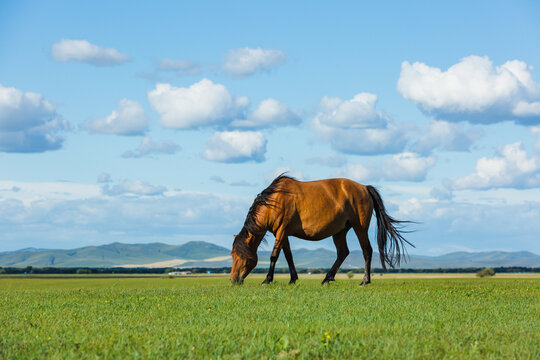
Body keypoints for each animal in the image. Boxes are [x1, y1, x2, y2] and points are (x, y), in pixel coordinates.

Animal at [229, 176, 414, 286]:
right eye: (232, 255)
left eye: (241, 255)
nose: (233, 279)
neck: (275, 201)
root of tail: (363, 187)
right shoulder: (282, 233)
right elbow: (288, 256)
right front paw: (293, 279)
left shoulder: (282, 230)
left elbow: (274, 255)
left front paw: (267, 280)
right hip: (340, 231)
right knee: (343, 252)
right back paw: (327, 278)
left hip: (360, 227)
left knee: (366, 251)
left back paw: (365, 281)